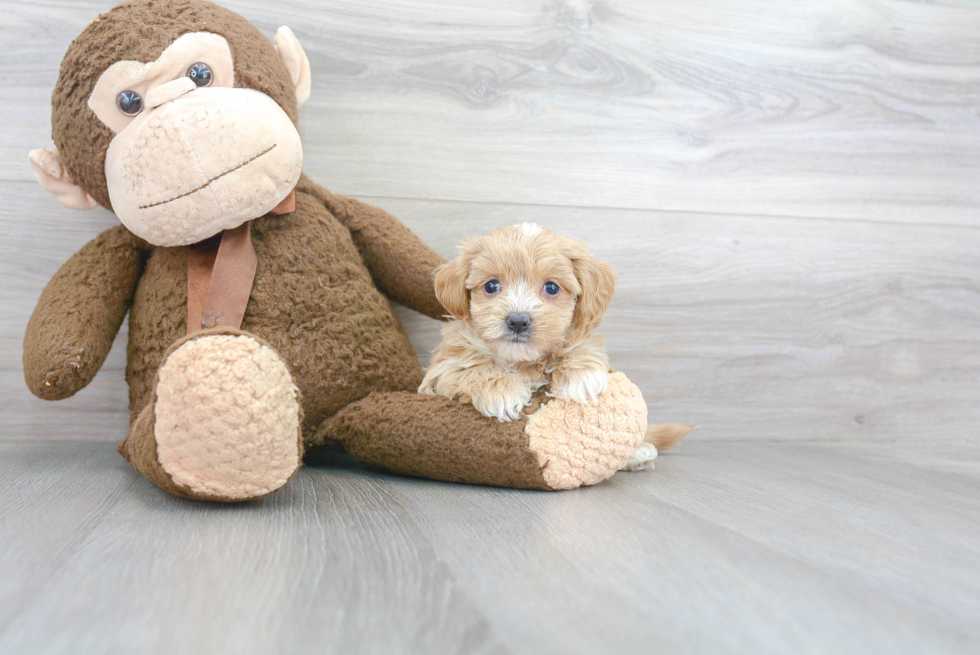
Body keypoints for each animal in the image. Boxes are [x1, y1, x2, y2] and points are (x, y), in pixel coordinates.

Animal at [418, 223, 616, 422]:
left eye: (552, 287)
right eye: (491, 286)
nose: (518, 321)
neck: (521, 362)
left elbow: (581, 345)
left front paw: (582, 374)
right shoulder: (441, 369)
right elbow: (470, 367)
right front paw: (501, 391)